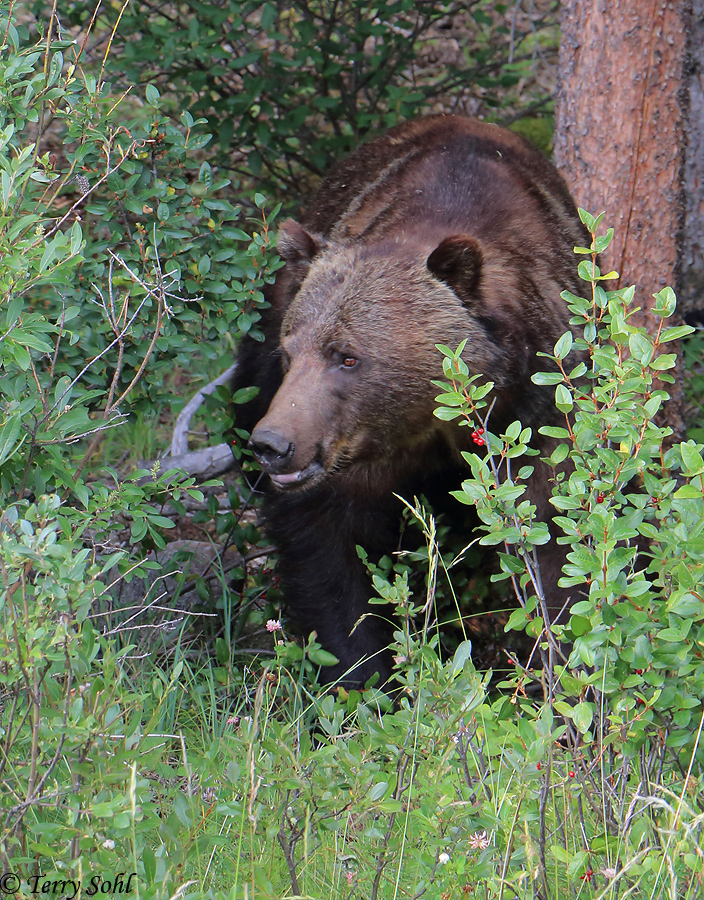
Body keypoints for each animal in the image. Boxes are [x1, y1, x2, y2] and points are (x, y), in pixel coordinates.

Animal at [231, 114, 589, 686]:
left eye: (347, 356)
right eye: (291, 352)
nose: (274, 443)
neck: (429, 420)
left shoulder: (541, 411)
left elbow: (559, 544)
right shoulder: (352, 457)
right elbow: (333, 555)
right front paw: (362, 674)